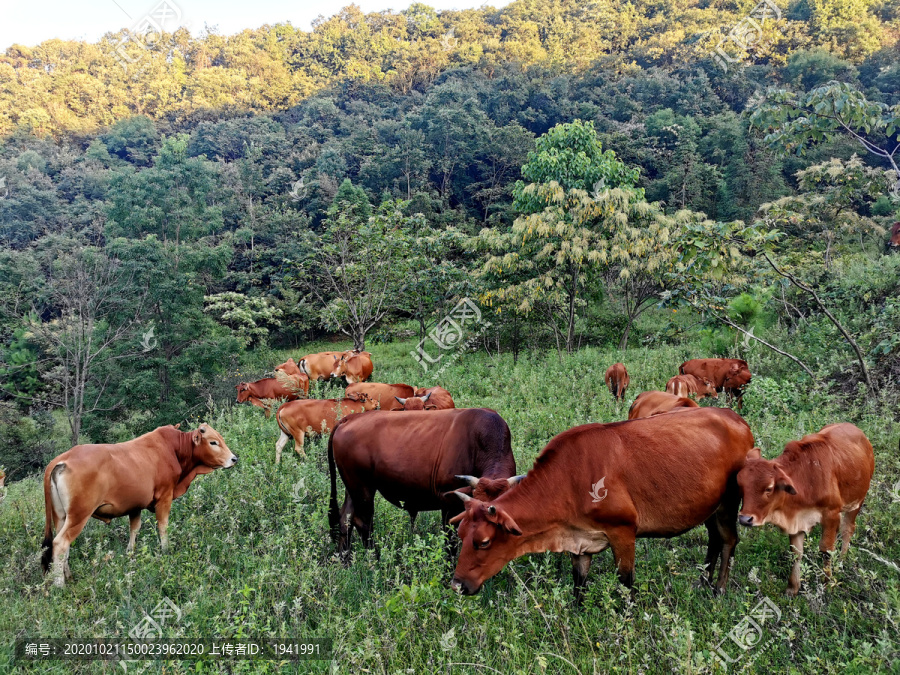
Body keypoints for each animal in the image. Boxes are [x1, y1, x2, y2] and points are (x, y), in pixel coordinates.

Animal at [40, 428, 237, 588]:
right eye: (213, 442)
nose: (234, 458)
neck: (174, 449)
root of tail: (62, 459)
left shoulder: (135, 506)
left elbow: (134, 529)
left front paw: (130, 553)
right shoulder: (164, 498)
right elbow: (163, 527)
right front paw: (166, 551)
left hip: (61, 516)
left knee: (63, 547)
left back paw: (68, 575)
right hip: (79, 515)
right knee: (60, 543)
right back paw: (60, 584)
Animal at [328, 406, 520, 560]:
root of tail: (349, 418)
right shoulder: (449, 502)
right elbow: (450, 542)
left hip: (352, 488)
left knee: (346, 518)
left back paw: (343, 560)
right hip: (363, 488)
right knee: (363, 522)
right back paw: (374, 561)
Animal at [448, 406, 752, 604]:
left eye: (484, 542)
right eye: (460, 534)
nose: (457, 585)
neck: (569, 480)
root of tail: (735, 417)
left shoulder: (623, 532)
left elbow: (626, 584)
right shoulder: (579, 541)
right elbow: (578, 585)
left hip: (729, 501)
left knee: (728, 540)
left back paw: (719, 590)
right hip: (710, 506)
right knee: (714, 539)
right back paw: (703, 581)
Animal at [736, 426, 876, 600]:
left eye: (769, 488)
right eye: (740, 485)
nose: (744, 519)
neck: (807, 480)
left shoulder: (831, 515)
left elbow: (826, 551)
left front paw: (826, 584)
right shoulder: (797, 521)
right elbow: (796, 553)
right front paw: (792, 588)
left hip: (857, 502)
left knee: (848, 529)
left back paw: (841, 561)